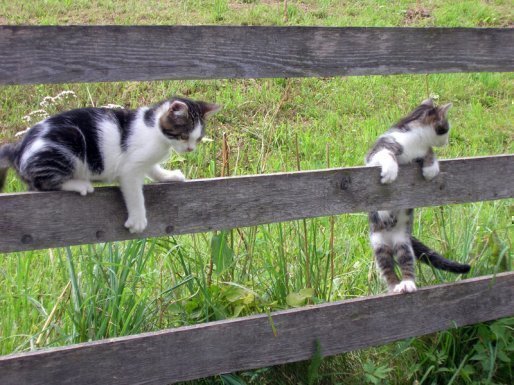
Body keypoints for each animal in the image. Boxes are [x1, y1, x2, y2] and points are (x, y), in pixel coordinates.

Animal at [0, 97, 218, 232]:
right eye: (183, 136)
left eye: (198, 138)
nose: (190, 149)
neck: (155, 131)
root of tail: (18, 147)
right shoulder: (130, 169)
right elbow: (135, 194)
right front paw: (138, 220)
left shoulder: (146, 161)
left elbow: (153, 169)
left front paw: (168, 176)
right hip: (68, 142)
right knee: (40, 184)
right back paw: (80, 184)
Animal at [364, 97, 468, 292]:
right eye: (446, 128)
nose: (446, 142)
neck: (414, 141)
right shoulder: (377, 151)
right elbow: (386, 155)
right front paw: (390, 172)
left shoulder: (420, 151)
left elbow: (428, 152)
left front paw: (430, 169)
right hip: (379, 243)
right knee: (386, 266)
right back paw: (394, 286)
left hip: (403, 242)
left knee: (406, 260)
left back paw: (408, 283)